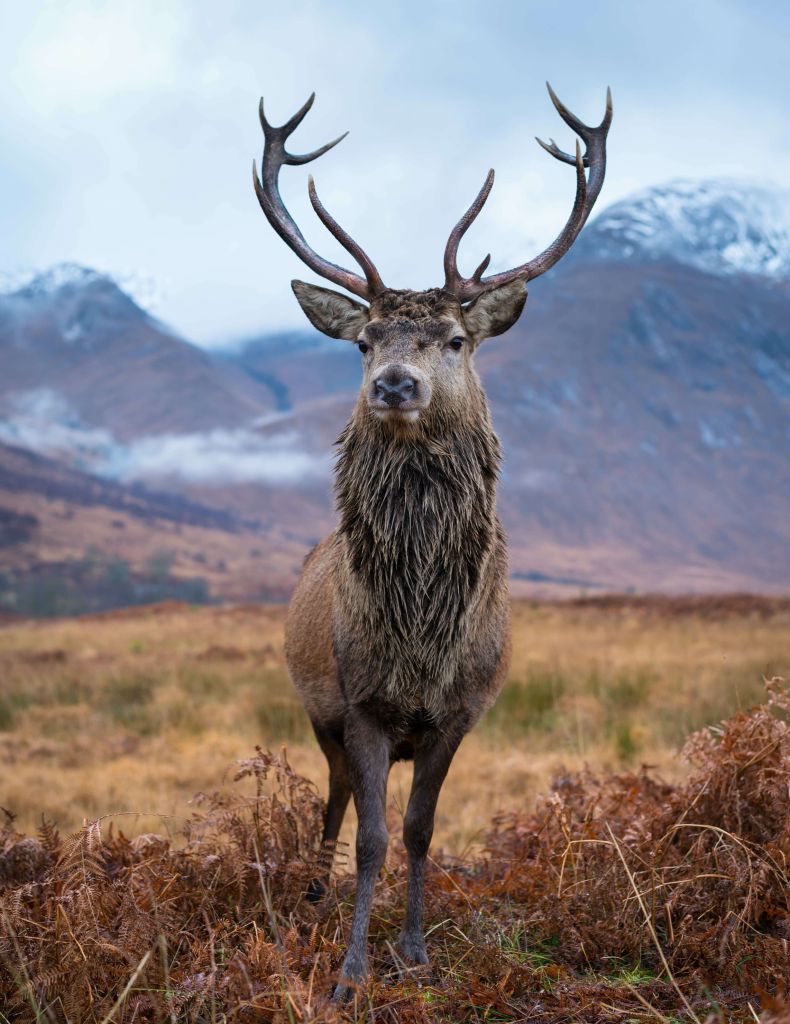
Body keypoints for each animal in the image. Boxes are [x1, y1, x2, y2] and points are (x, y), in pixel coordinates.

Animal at [253, 83, 610, 995]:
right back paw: (312, 893)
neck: (421, 637)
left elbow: (419, 831)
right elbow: (374, 836)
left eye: (455, 339)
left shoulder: (460, 713)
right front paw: (351, 969)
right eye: (363, 340)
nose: (394, 383)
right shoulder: (362, 703)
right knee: (333, 797)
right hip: (317, 708)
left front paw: (415, 952)